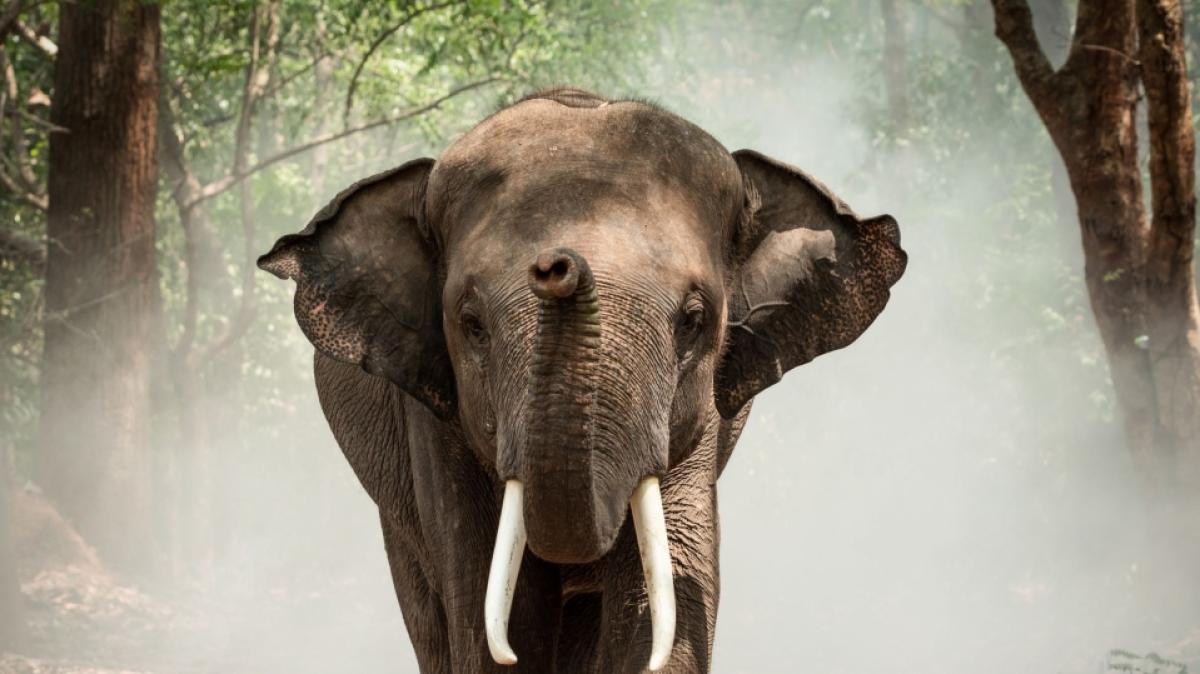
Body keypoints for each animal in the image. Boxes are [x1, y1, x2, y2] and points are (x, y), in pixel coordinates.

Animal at [258, 87, 906, 673]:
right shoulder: (436, 422)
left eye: (694, 320)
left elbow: (665, 592)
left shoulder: (697, 423)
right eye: (471, 325)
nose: (557, 265)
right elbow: (502, 614)